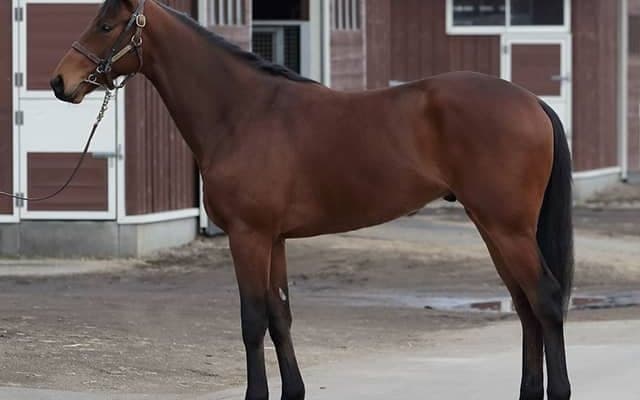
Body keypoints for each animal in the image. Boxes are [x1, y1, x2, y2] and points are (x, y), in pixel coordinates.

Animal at [51, 1, 574, 399]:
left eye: (105, 25)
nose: (60, 81)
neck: (243, 111)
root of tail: (532, 101)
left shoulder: (248, 237)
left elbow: (252, 319)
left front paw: (256, 394)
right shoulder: (275, 239)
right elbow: (280, 316)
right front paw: (293, 391)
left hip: (507, 228)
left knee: (545, 299)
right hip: (493, 227)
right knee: (524, 304)